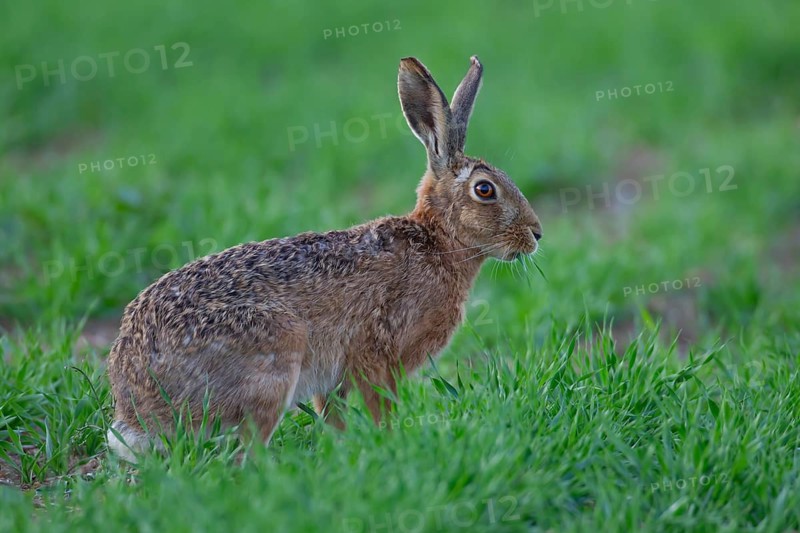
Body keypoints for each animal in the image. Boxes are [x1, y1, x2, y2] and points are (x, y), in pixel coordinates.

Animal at [106, 55, 542, 461]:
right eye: (485, 190)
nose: (536, 234)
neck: (439, 241)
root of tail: (138, 406)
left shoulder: (336, 378)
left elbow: (333, 413)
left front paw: (345, 447)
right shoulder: (375, 351)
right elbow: (381, 405)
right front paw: (389, 443)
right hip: (275, 356)